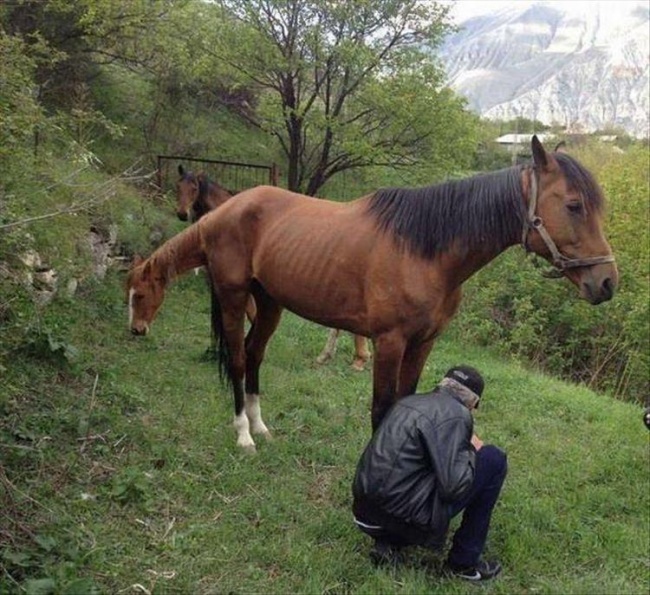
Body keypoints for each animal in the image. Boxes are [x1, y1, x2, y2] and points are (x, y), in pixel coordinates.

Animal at [128, 139, 616, 452]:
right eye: (574, 205)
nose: (607, 282)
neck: (425, 249)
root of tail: (227, 210)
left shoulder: (423, 343)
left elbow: (403, 401)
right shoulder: (389, 342)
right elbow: (381, 409)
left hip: (269, 304)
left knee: (253, 354)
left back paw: (260, 426)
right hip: (233, 298)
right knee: (236, 357)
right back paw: (243, 434)